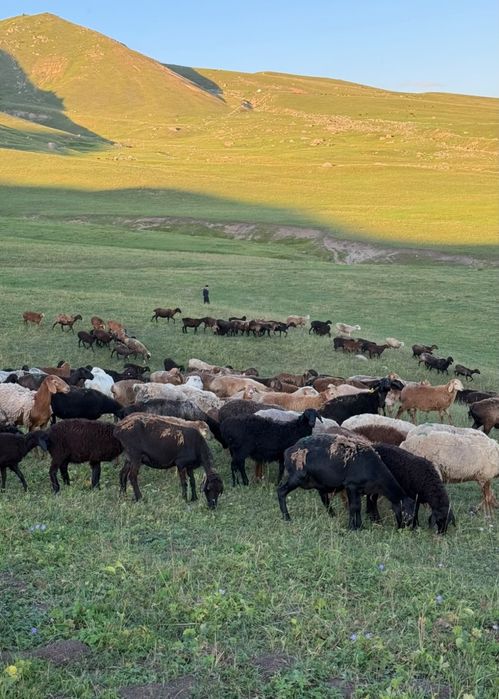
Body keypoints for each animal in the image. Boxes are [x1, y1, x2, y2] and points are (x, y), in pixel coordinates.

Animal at [277, 433, 413, 529]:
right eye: (405, 512)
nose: (406, 528)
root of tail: (288, 450)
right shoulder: (351, 485)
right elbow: (354, 506)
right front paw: (353, 527)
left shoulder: (359, 489)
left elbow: (357, 506)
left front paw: (359, 526)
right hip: (297, 476)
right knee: (281, 491)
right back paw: (286, 517)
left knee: (324, 499)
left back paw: (332, 515)